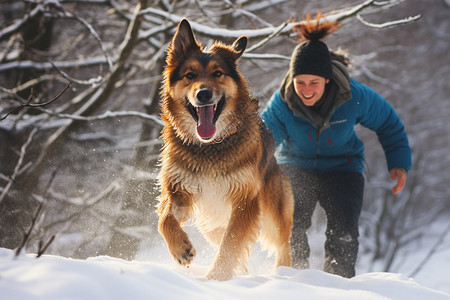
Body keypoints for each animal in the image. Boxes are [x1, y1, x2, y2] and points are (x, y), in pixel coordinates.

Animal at [156, 18, 294, 282]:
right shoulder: (179, 188)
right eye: (189, 75)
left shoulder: (244, 201)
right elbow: (164, 219)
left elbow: (231, 244)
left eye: (217, 73)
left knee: (282, 245)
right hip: (210, 222)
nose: (204, 94)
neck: (210, 148)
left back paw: (284, 274)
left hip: (273, 213)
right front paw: (180, 249)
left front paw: (215, 279)